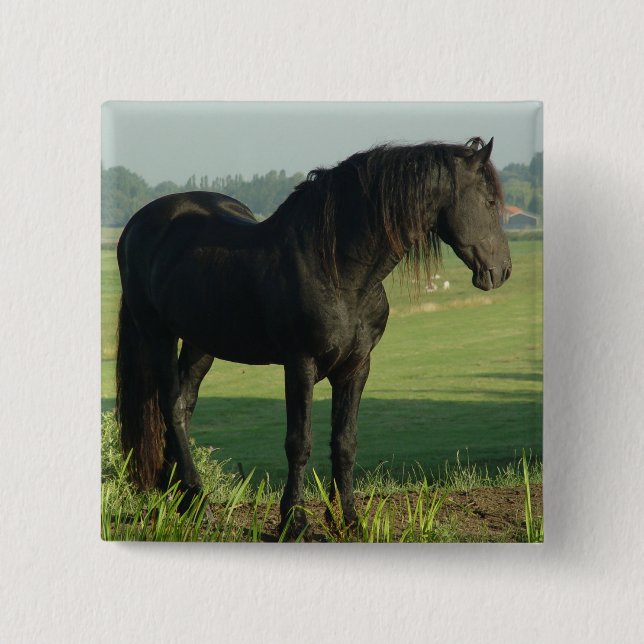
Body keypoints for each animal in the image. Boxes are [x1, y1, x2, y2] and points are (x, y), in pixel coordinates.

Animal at [115, 137, 511, 534]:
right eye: (490, 202)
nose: (502, 271)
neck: (339, 270)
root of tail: (136, 224)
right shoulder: (300, 364)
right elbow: (299, 441)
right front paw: (294, 520)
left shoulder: (357, 366)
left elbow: (345, 441)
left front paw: (347, 519)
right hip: (157, 334)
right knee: (171, 406)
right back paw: (197, 501)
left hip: (201, 343)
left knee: (184, 406)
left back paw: (181, 500)